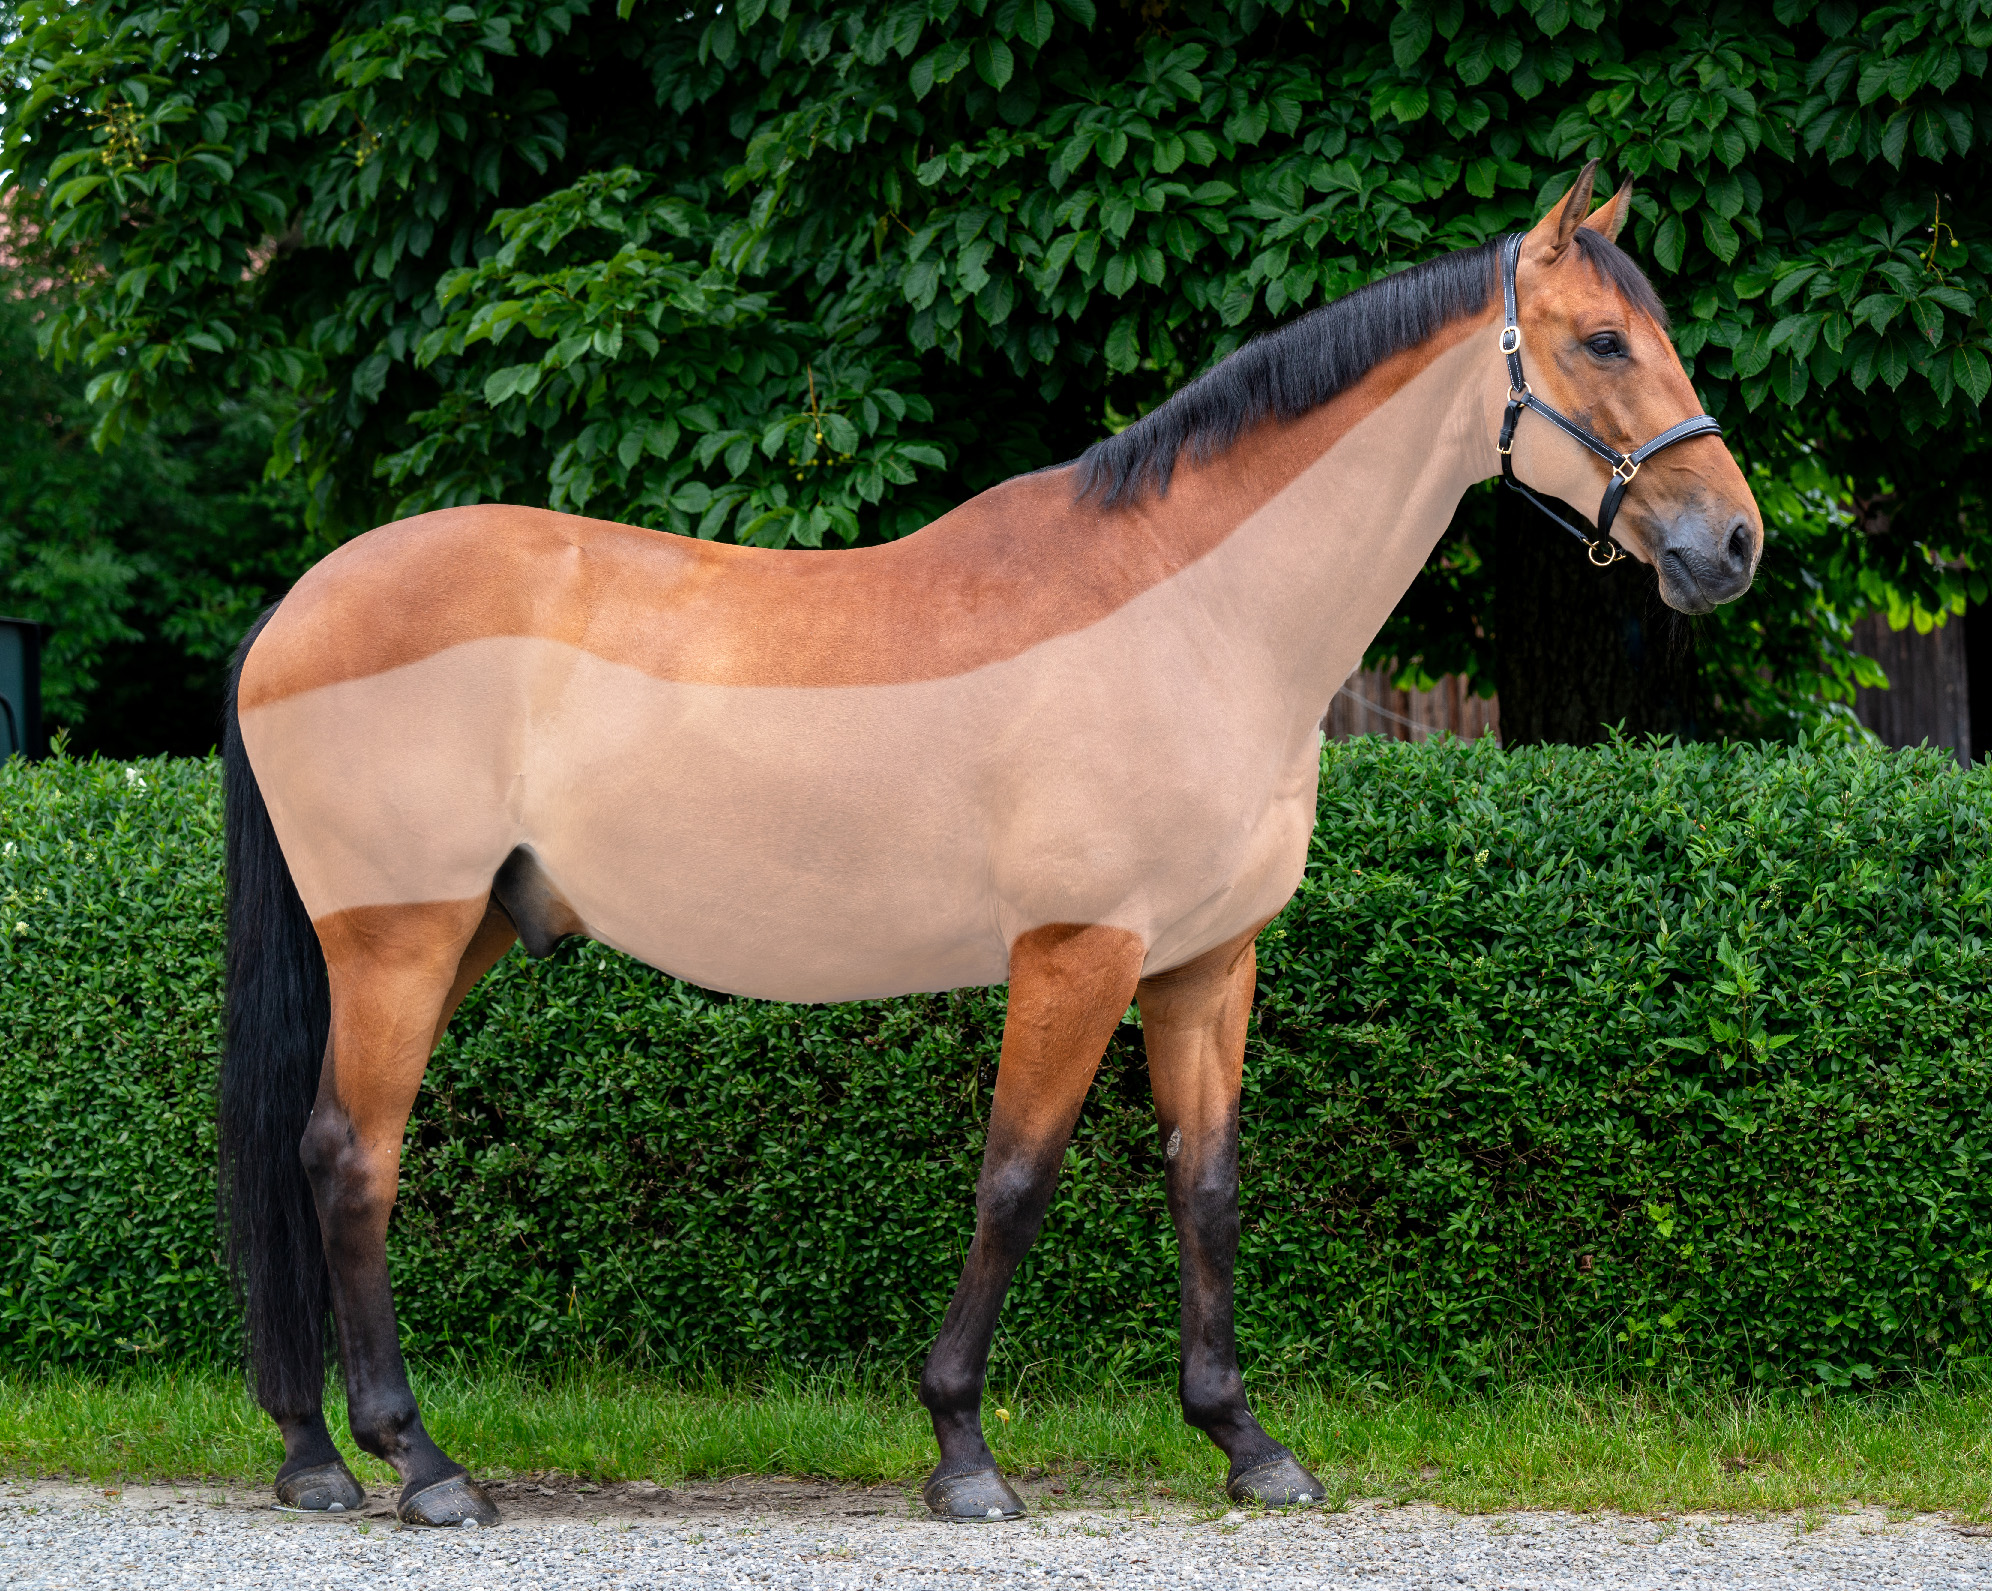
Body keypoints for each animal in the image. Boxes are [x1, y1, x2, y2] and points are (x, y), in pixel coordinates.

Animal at [218, 161, 1760, 1527]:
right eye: (1604, 339)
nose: (1733, 544)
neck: (1189, 609)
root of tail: (298, 604)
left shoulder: (1208, 963)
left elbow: (1207, 1186)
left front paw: (1247, 1443)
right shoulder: (1078, 953)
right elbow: (1016, 1181)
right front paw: (962, 1447)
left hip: (461, 931)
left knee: (305, 1149)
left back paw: (312, 1455)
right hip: (403, 939)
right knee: (354, 1158)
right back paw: (421, 1465)